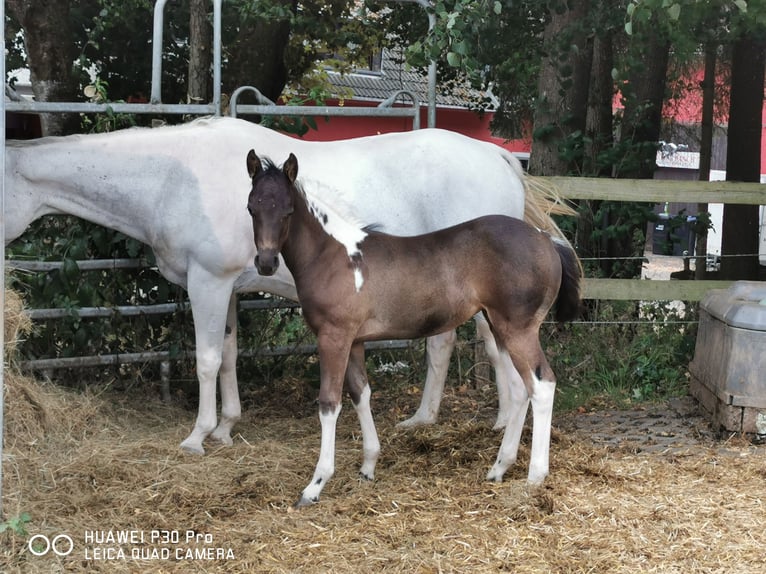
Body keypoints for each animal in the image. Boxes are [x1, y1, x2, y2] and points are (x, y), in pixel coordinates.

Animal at [4, 116, 572, 455]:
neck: (175, 177)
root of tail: (496, 156)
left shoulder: (207, 282)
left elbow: (206, 359)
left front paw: (197, 436)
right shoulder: (228, 288)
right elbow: (229, 356)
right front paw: (227, 426)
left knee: (490, 352)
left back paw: (493, 425)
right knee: (458, 346)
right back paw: (439, 420)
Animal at [246, 151, 582, 507]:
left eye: (288, 211)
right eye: (252, 207)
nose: (265, 263)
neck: (333, 255)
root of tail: (546, 239)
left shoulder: (333, 337)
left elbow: (329, 403)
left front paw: (315, 485)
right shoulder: (354, 340)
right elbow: (361, 393)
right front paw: (368, 466)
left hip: (519, 329)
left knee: (542, 385)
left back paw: (535, 477)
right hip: (500, 325)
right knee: (521, 389)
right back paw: (499, 467)